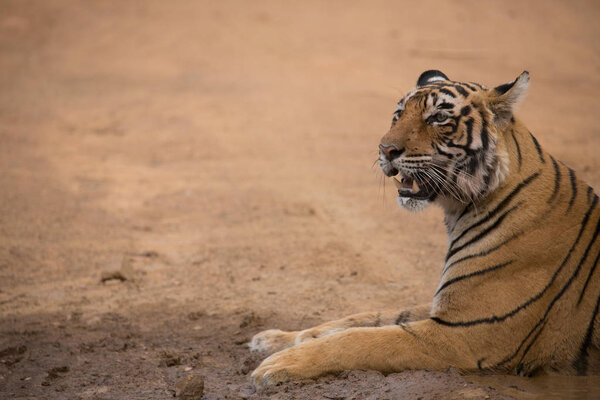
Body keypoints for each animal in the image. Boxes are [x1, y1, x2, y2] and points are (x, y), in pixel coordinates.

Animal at [246, 69, 596, 388]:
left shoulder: (464, 333)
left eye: (438, 118)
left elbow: (360, 339)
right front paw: (273, 339)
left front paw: (277, 364)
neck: (460, 210)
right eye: (398, 114)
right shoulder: (446, 308)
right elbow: (362, 318)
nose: (385, 150)